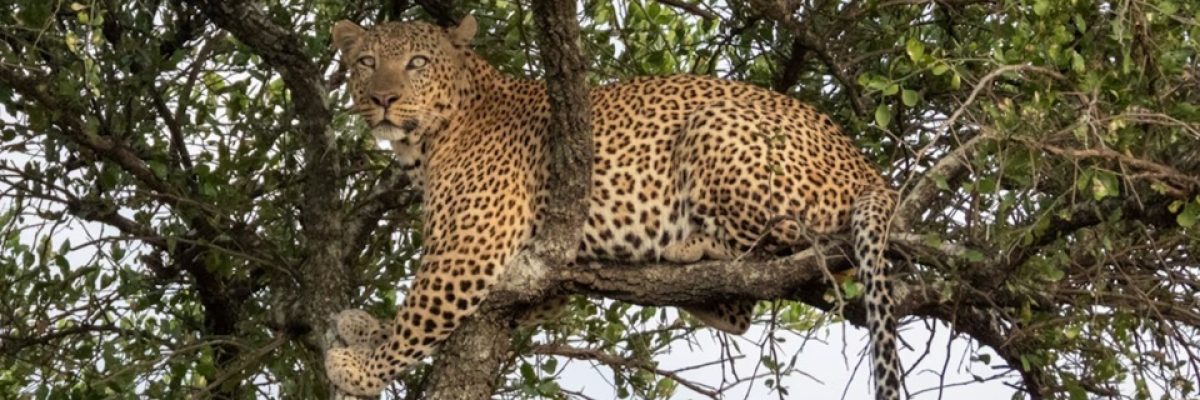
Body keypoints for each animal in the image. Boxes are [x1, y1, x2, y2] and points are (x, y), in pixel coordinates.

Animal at [325, 15, 902, 400]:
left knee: (770, 248)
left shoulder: (470, 247)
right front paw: (360, 326)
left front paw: (356, 367)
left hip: (714, 125)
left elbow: (415, 319)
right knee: (740, 311)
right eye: (366, 63)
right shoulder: (531, 278)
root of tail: (868, 168)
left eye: (417, 63)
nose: (382, 99)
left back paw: (688, 244)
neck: (425, 144)